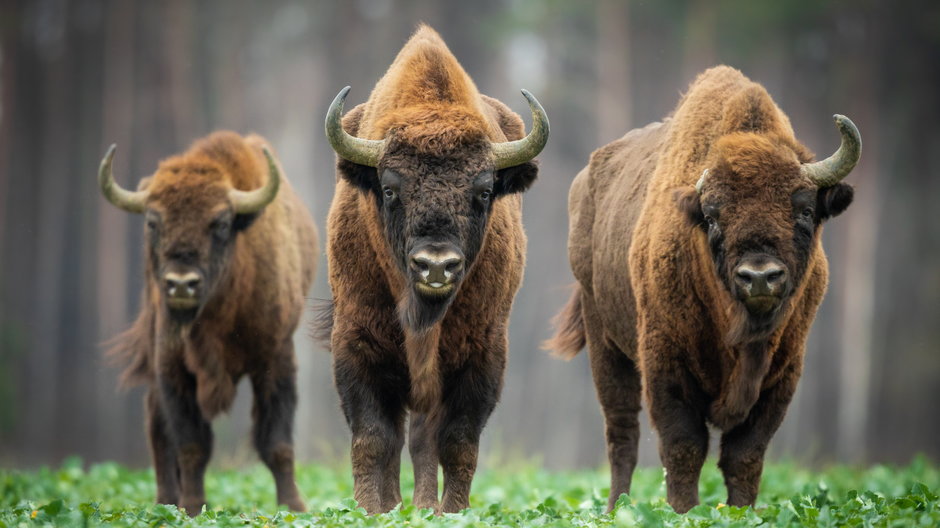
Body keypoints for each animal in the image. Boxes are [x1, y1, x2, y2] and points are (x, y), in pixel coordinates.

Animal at [99, 132, 318, 516]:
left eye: (221, 223)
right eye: (153, 222)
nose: (181, 284)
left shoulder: (276, 358)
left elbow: (276, 443)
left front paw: (293, 508)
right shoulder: (172, 366)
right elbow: (191, 444)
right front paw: (191, 507)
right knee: (158, 429)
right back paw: (165, 501)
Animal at [320, 25, 548, 516]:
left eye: (484, 191)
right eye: (390, 189)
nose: (436, 266)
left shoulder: (483, 353)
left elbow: (457, 442)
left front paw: (451, 512)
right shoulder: (356, 343)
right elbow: (372, 439)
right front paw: (371, 511)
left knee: (424, 440)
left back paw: (424, 506)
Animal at [548, 65, 864, 512]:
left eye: (804, 209)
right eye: (713, 216)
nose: (760, 276)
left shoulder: (783, 373)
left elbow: (745, 454)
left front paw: (742, 513)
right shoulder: (666, 364)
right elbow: (684, 446)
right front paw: (684, 512)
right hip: (605, 342)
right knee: (622, 434)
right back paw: (617, 509)